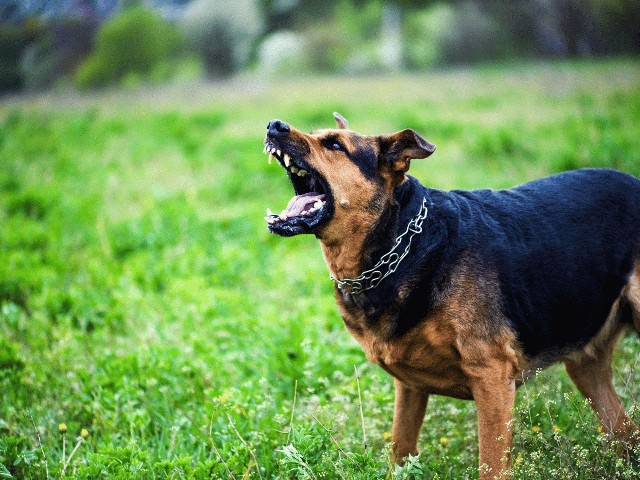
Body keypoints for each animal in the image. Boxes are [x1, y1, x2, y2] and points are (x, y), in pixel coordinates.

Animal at [262, 113, 640, 480]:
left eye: (335, 145)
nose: (273, 126)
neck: (402, 242)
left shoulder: (492, 378)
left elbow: (491, 466)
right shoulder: (410, 388)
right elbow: (400, 450)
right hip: (585, 364)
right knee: (625, 431)